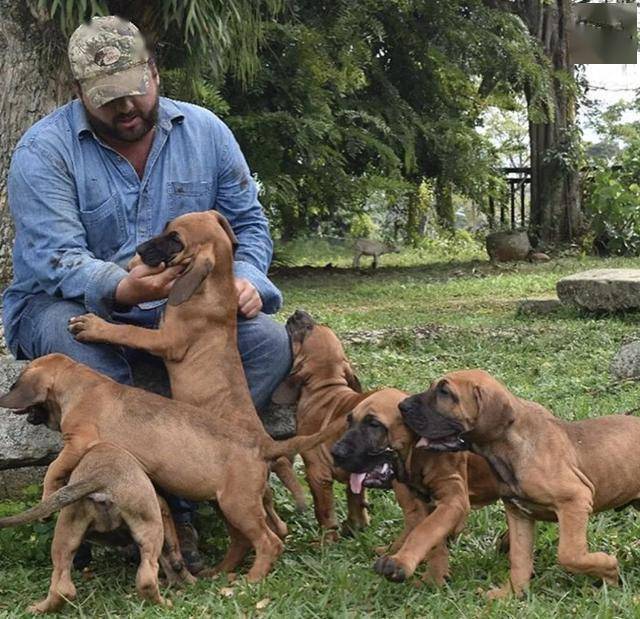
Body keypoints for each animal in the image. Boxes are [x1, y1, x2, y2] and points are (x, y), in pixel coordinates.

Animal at [0, 354, 340, 580]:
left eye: (16, 384)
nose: (3, 398)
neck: (79, 382)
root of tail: (263, 445)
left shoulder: (78, 442)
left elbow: (54, 469)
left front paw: (47, 497)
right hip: (227, 504)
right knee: (245, 540)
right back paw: (219, 572)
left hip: (238, 505)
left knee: (268, 543)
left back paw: (251, 580)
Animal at [67, 211, 304, 516]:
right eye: (166, 229)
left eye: (175, 240)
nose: (139, 250)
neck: (213, 286)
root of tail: (265, 441)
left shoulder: (167, 341)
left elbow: (129, 331)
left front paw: (94, 326)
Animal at [330, 390, 500, 588]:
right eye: (349, 421)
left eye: (374, 425)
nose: (335, 453)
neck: (418, 454)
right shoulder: (420, 502)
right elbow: (431, 535)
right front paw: (435, 577)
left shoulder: (453, 500)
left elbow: (425, 531)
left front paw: (406, 565)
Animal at [400, 370, 640, 600]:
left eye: (445, 392)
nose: (402, 406)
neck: (507, 449)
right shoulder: (518, 513)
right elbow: (519, 558)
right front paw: (511, 594)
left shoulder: (575, 499)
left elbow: (570, 554)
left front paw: (609, 570)